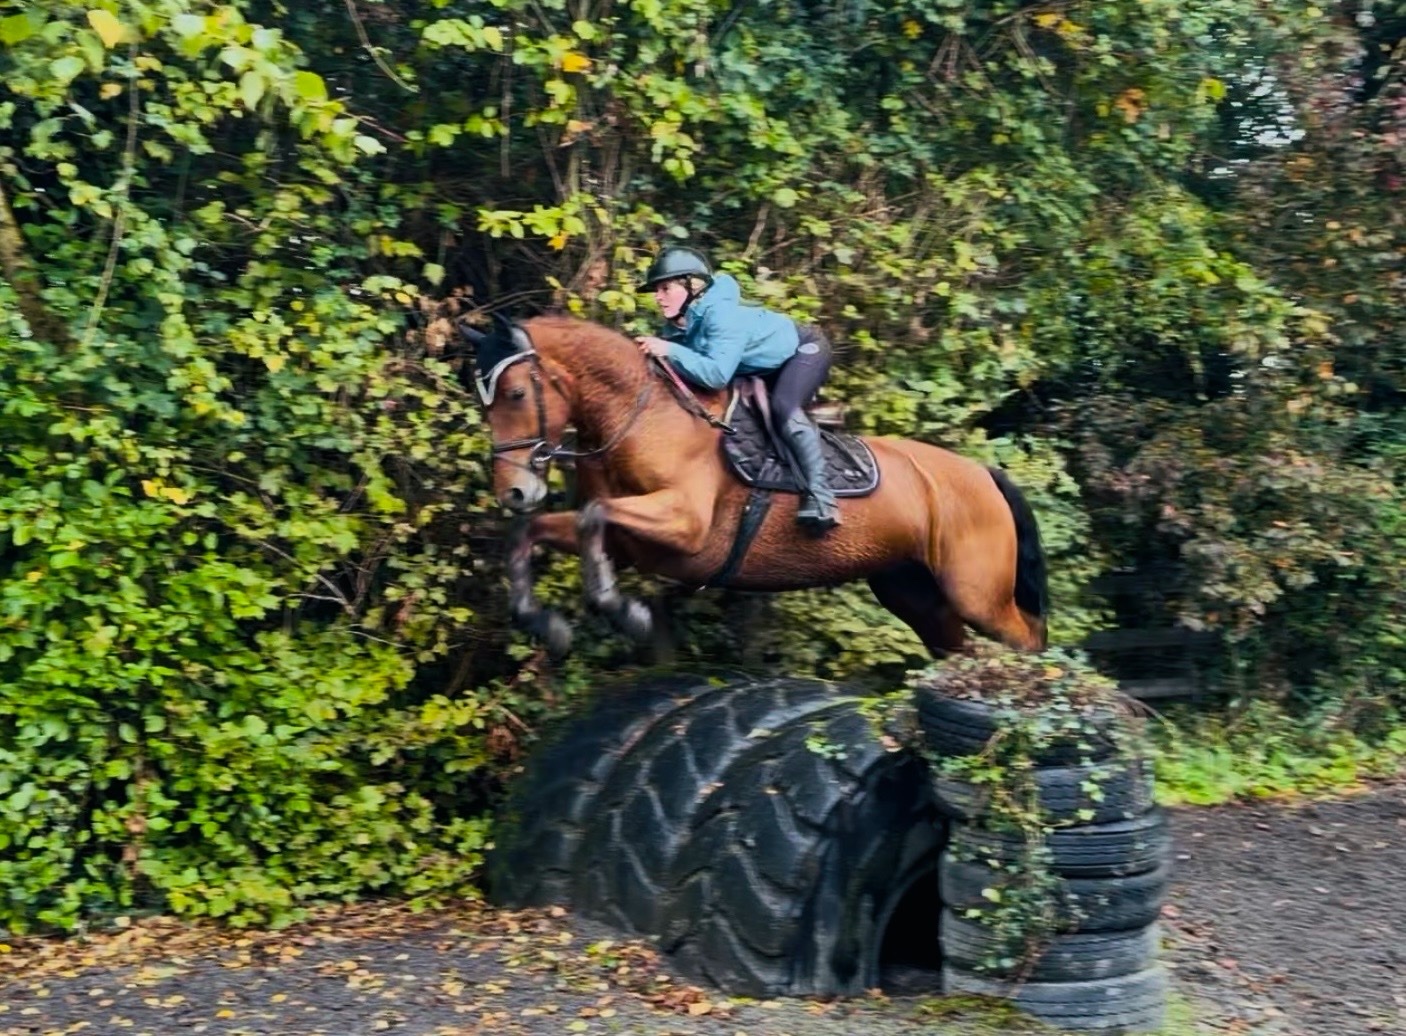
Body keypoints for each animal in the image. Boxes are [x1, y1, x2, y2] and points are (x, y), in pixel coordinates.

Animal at [456, 312, 1049, 661]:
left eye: (514, 394)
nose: (513, 493)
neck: (639, 417)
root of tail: (983, 474)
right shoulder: (631, 542)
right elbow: (536, 532)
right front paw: (547, 625)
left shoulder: (685, 526)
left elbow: (592, 516)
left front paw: (626, 613)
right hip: (915, 593)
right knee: (962, 651)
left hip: (977, 595)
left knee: (1028, 642)